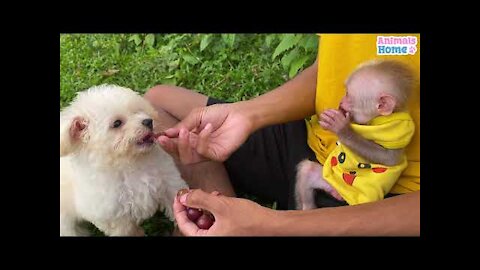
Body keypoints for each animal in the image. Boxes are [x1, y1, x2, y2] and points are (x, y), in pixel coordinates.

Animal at [60, 84, 188, 236]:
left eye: (138, 111)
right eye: (117, 123)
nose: (148, 121)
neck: (129, 163)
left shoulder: (168, 181)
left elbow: (175, 198)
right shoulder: (114, 218)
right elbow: (129, 231)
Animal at [294, 59, 414, 209]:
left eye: (347, 94)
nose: (341, 101)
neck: (370, 121)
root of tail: (337, 192)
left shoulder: (399, 130)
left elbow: (390, 157)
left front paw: (341, 128)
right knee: (307, 170)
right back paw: (308, 207)